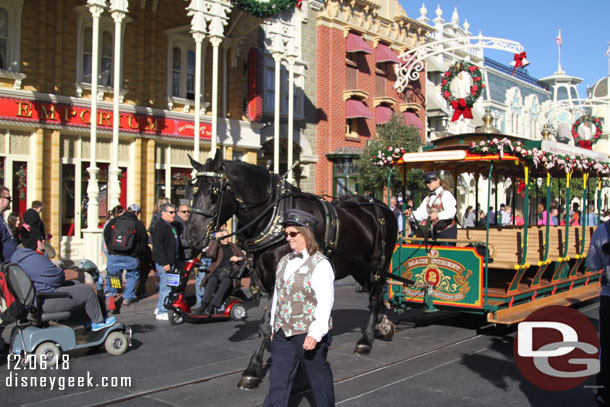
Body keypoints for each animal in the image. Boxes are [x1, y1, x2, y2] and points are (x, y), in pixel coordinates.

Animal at [188, 151, 396, 390]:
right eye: (193, 189)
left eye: (213, 191)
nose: (190, 235)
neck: (273, 218)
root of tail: (380, 205)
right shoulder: (268, 280)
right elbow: (272, 322)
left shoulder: (281, 278)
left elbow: (266, 323)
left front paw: (252, 369)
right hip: (359, 267)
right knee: (374, 294)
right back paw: (384, 324)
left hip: (378, 263)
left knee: (375, 295)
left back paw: (366, 340)